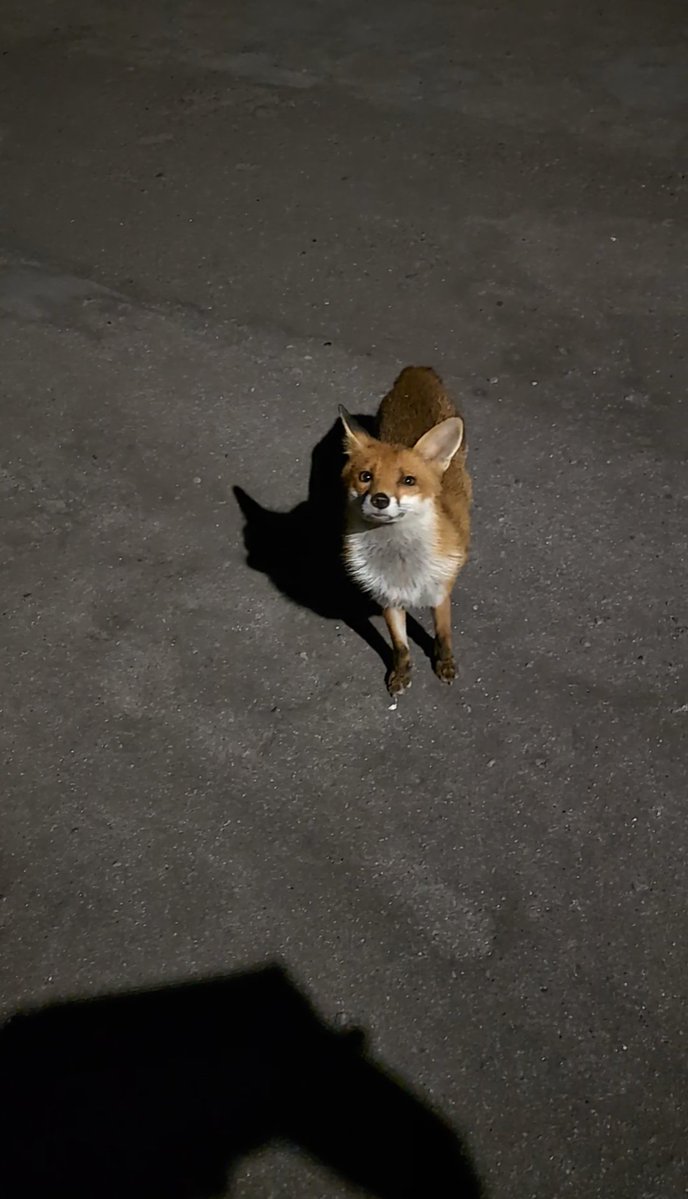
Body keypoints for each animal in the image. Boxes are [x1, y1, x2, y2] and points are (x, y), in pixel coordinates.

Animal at [340, 366, 472, 697]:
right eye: (365, 477)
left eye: (408, 481)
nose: (380, 499)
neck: (401, 565)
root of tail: (416, 370)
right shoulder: (388, 598)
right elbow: (400, 646)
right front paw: (400, 674)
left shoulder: (439, 593)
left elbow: (443, 634)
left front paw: (445, 664)